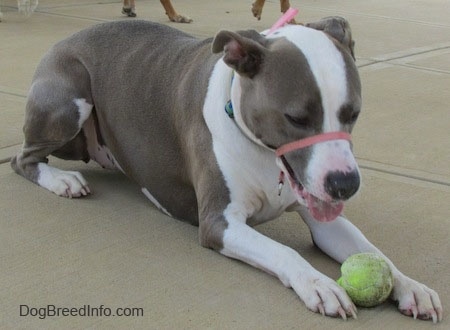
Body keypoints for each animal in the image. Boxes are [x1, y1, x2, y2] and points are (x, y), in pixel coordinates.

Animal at [11, 18, 442, 322]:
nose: (345, 184)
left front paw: (410, 285)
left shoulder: (325, 217)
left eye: (352, 113)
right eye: (296, 118)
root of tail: (67, 37)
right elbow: (285, 251)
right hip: (69, 103)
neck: (265, 155)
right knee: (23, 158)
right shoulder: (219, 222)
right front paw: (318, 283)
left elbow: (374, 253)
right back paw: (62, 180)